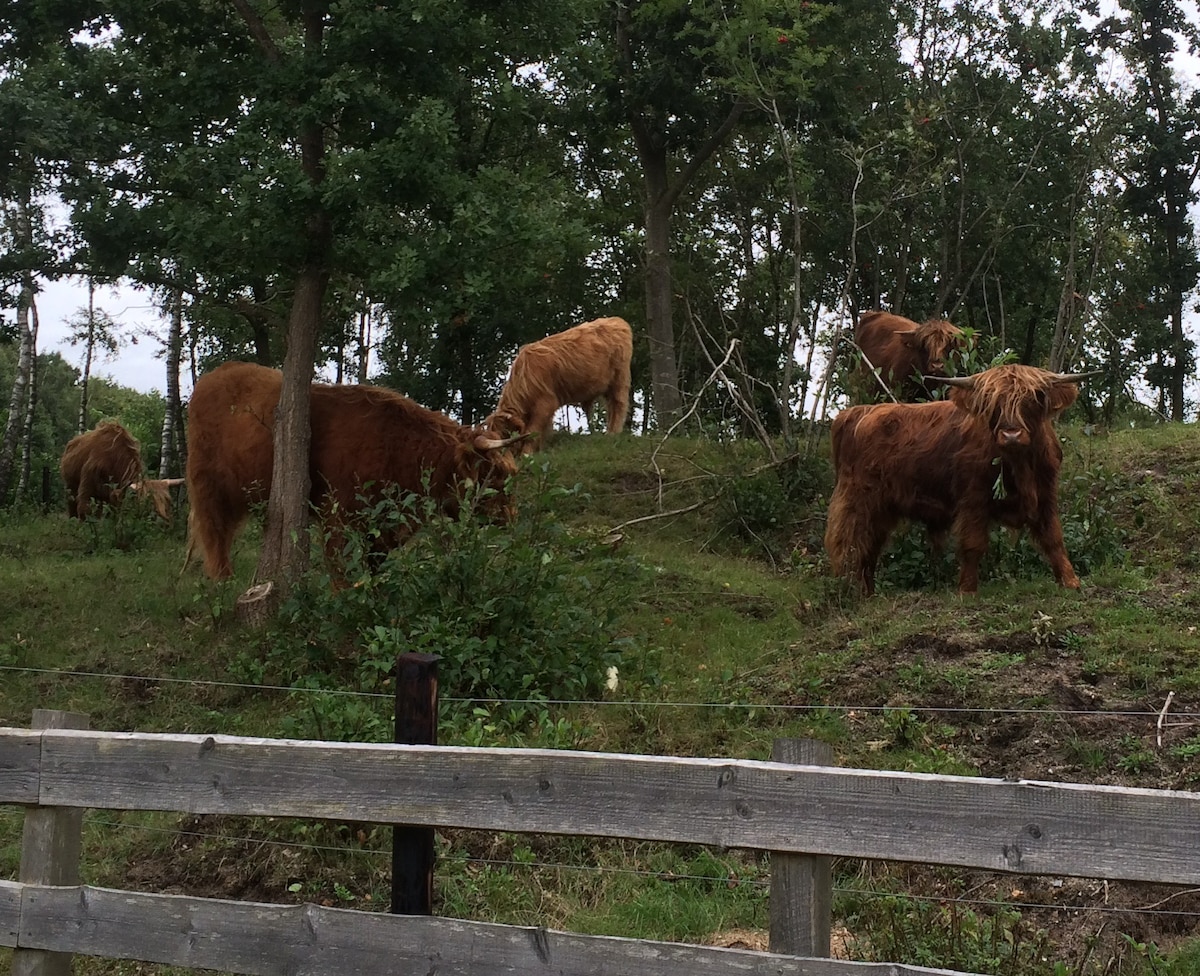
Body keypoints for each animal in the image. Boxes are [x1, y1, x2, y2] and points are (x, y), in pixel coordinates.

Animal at [186, 362, 520, 578]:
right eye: (493, 476)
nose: (511, 516)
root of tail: (215, 374)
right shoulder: (338, 513)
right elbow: (341, 565)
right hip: (208, 483)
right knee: (213, 531)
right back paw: (223, 580)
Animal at [482, 316, 633, 456]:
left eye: (505, 433)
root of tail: (617, 320)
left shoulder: (546, 403)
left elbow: (532, 431)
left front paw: (527, 453)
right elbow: (543, 431)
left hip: (619, 378)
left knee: (618, 404)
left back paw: (612, 433)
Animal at [825, 362, 1099, 593]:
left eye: (1034, 398)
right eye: (992, 402)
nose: (1011, 434)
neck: (1020, 464)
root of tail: (856, 413)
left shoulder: (1045, 495)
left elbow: (1054, 539)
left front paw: (1071, 581)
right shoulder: (973, 498)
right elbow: (973, 544)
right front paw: (967, 590)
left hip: (881, 510)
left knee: (869, 549)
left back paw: (868, 594)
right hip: (859, 502)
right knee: (851, 546)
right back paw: (852, 592)